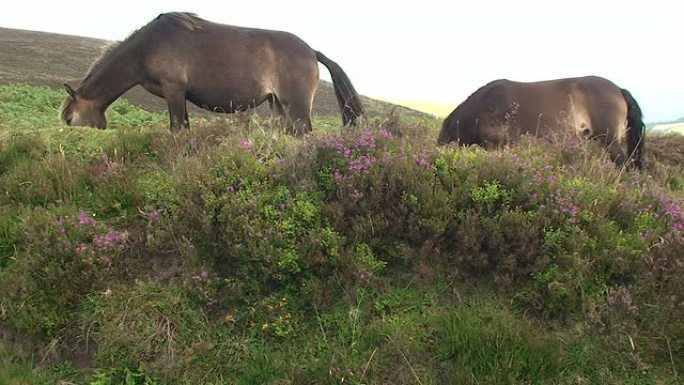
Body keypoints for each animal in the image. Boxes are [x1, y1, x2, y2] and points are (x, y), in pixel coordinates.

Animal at [60, 12, 364, 134]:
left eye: (70, 119)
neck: (147, 46)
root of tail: (312, 51)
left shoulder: (173, 89)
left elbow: (178, 128)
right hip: (278, 104)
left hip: (297, 105)